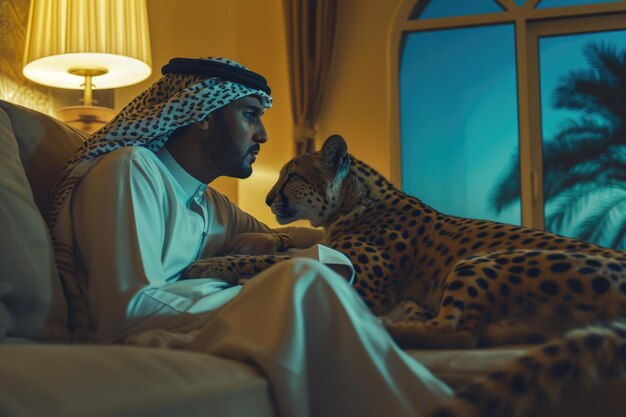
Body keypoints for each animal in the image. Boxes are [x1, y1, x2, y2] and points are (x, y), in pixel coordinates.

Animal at [183, 134, 624, 416]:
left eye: (292, 176)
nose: (269, 198)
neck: (354, 202)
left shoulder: (366, 281)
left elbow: (284, 261)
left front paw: (214, 265)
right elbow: (291, 246)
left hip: (482, 261)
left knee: (458, 332)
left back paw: (380, 328)